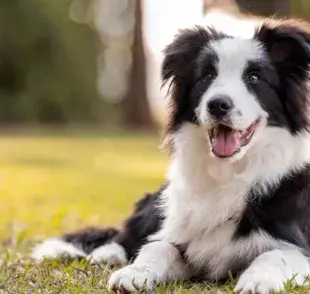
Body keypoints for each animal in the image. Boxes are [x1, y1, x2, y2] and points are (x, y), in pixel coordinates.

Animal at [32, 19, 310, 292]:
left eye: (254, 77)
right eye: (207, 76)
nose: (217, 105)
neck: (228, 172)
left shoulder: (297, 245)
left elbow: (275, 255)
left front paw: (257, 280)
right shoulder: (180, 234)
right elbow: (158, 247)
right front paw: (134, 272)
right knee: (125, 236)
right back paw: (107, 254)